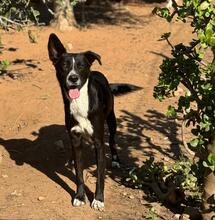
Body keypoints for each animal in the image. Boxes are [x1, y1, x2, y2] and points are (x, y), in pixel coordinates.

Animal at [47, 34, 120, 211]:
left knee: (112, 140)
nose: (73, 78)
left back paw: (115, 159)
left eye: (81, 66)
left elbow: (100, 175)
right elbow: (79, 173)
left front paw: (98, 199)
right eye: (64, 66)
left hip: (112, 120)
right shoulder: (75, 138)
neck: (80, 103)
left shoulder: (99, 142)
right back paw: (71, 160)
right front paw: (80, 196)